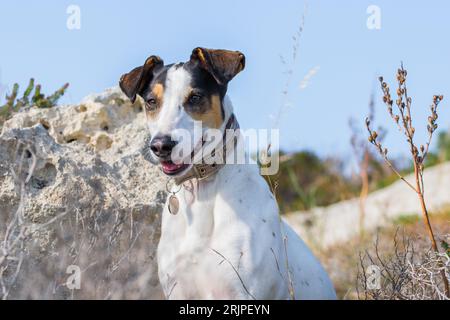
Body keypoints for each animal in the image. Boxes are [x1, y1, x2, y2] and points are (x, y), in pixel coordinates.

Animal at [119, 47, 338, 300]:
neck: (203, 190)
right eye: (152, 102)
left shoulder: (244, 291)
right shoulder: (178, 289)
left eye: (195, 97)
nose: (161, 146)